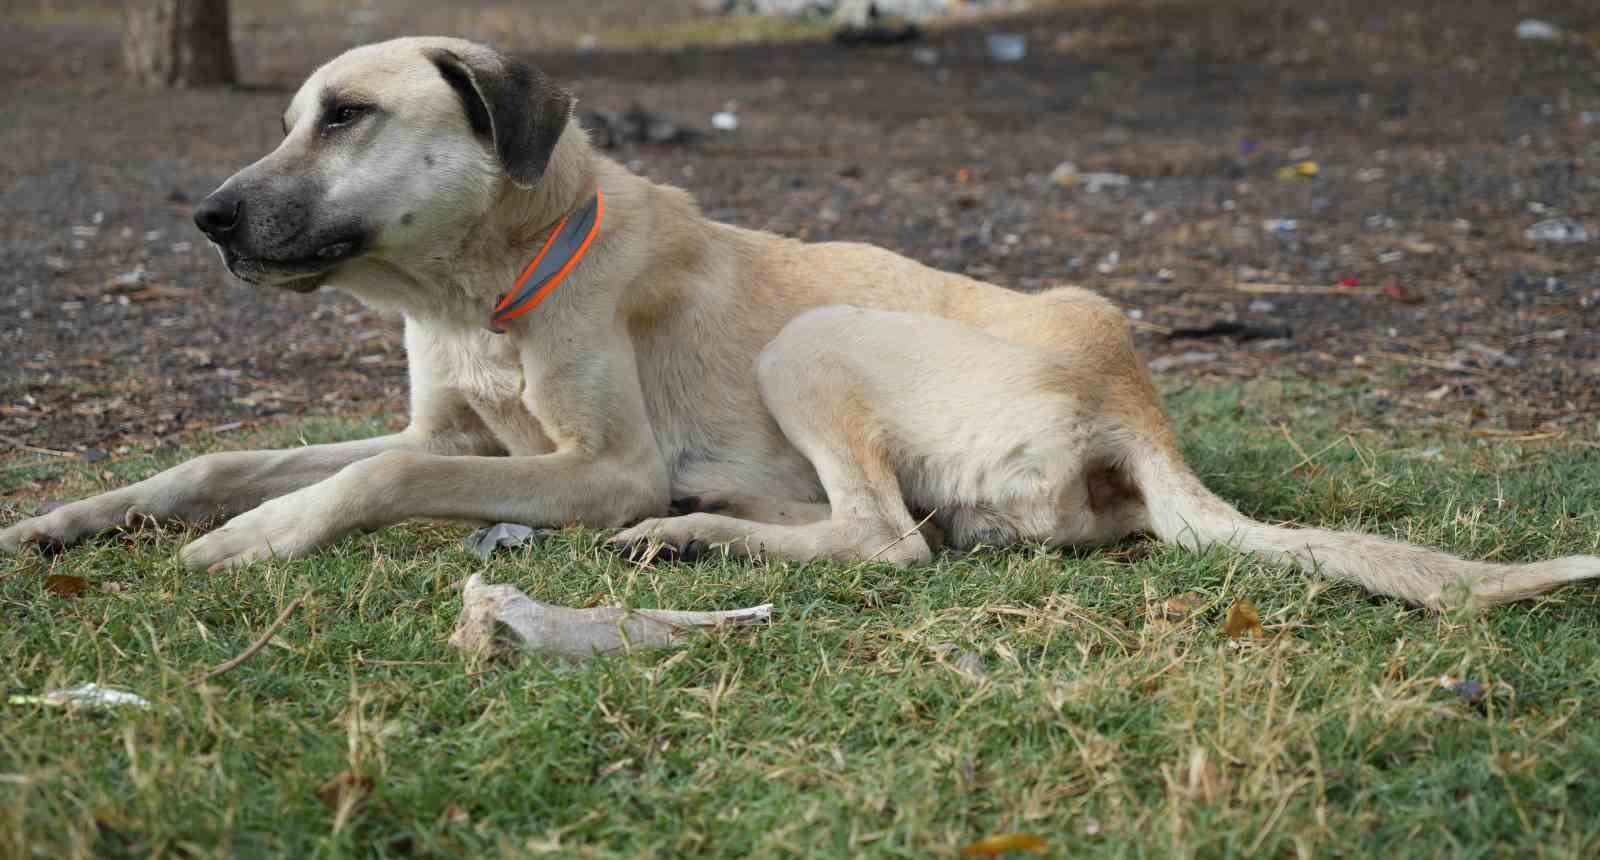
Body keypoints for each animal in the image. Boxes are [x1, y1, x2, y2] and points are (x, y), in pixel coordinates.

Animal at [0, 36, 1593, 604]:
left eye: (344, 116)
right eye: (291, 118)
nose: (205, 217)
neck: (483, 293)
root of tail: (1134, 401)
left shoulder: (597, 465)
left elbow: (378, 474)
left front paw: (256, 541)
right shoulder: (465, 426)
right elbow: (238, 456)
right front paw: (72, 518)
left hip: (808, 342)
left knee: (887, 540)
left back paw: (701, 533)